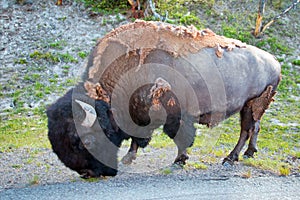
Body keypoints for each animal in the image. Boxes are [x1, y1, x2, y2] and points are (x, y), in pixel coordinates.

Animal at [47, 19, 282, 177]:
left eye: (85, 140)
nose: (87, 173)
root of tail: (274, 61)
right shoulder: (141, 113)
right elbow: (138, 137)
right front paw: (128, 158)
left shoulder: (174, 114)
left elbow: (179, 137)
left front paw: (178, 161)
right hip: (251, 106)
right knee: (254, 127)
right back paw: (249, 153)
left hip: (253, 104)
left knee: (246, 129)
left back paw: (230, 159)